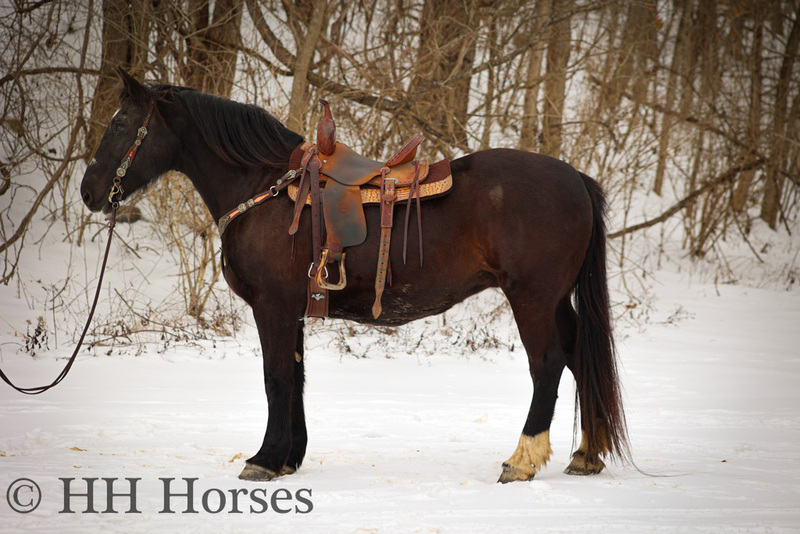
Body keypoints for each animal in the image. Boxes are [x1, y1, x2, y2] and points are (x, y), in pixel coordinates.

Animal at [81, 69, 632, 484]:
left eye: (121, 123)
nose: (89, 192)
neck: (265, 188)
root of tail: (575, 179)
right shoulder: (293, 311)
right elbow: (296, 378)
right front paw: (289, 457)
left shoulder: (272, 307)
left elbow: (275, 379)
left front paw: (264, 460)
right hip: (556, 299)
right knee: (580, 354)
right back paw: (586, 454)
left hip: (533, 298)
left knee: (548, 364)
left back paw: (520, 460)